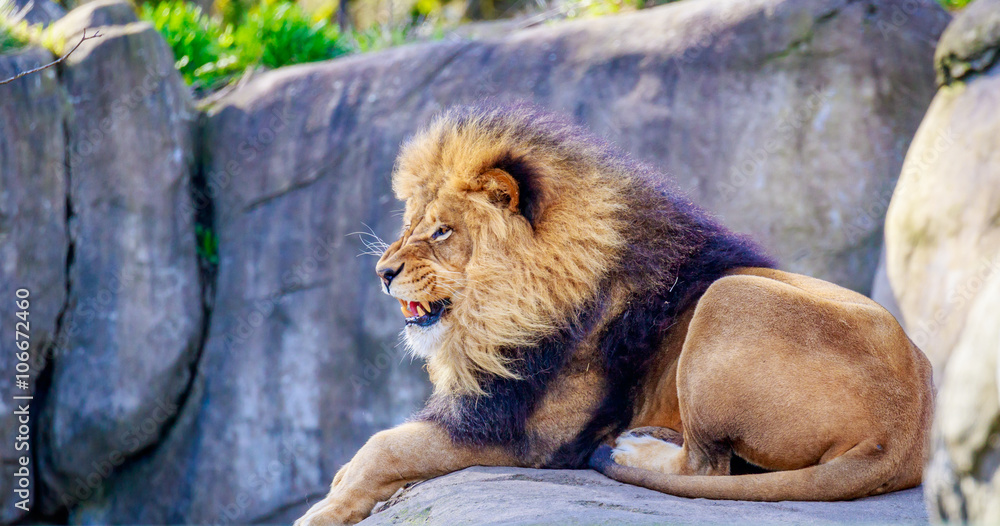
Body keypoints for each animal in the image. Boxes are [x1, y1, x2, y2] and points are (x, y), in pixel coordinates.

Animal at [295, 103, 934, 525]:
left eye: (442, 231)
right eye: (410, 224)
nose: (383, 272)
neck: (498, 318)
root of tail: (903, 436)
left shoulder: (525, 435)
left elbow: (386, 446)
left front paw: (322, 511)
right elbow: (373, 449)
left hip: (729, 297)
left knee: (706, 469)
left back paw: (632, 450)